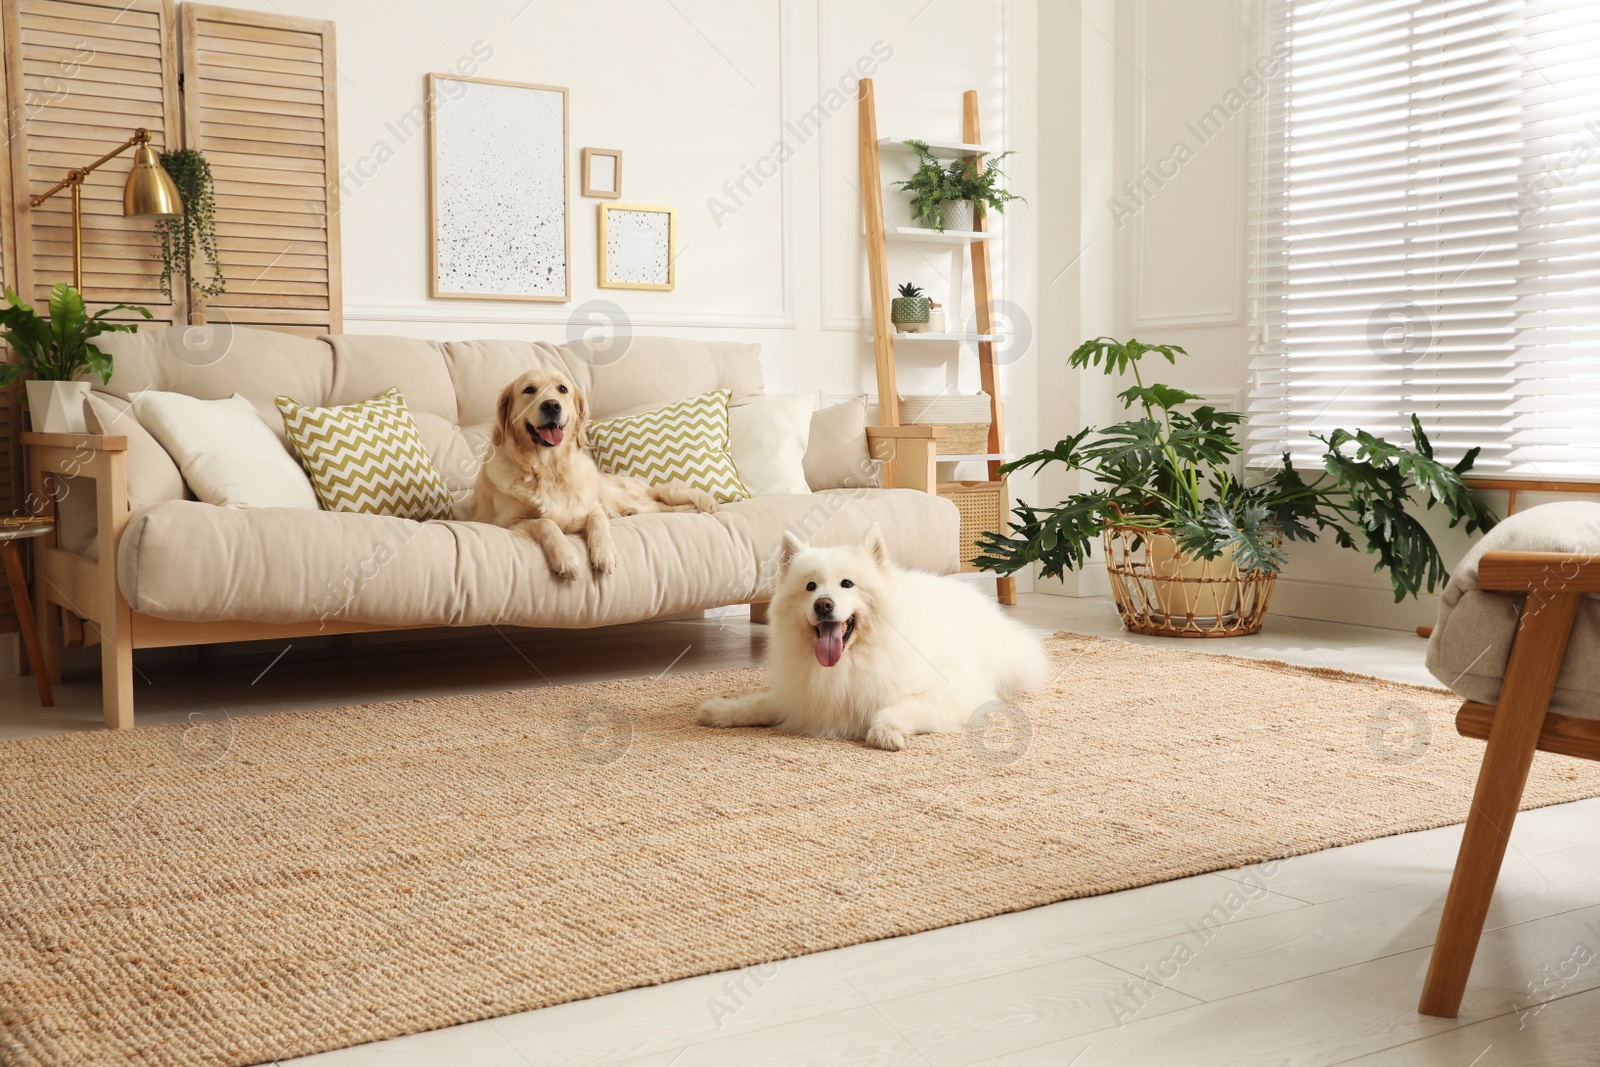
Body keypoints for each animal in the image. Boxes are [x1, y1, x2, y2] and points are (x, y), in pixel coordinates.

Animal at [691, 524, 1043, 751]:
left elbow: (900, 707)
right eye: (810, 587)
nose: (823, 604)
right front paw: (720, 711)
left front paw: (885, 731)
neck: (850, 661)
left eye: (847, 584)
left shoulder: (957, 693)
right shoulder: (799, 696)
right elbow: (760, 704)